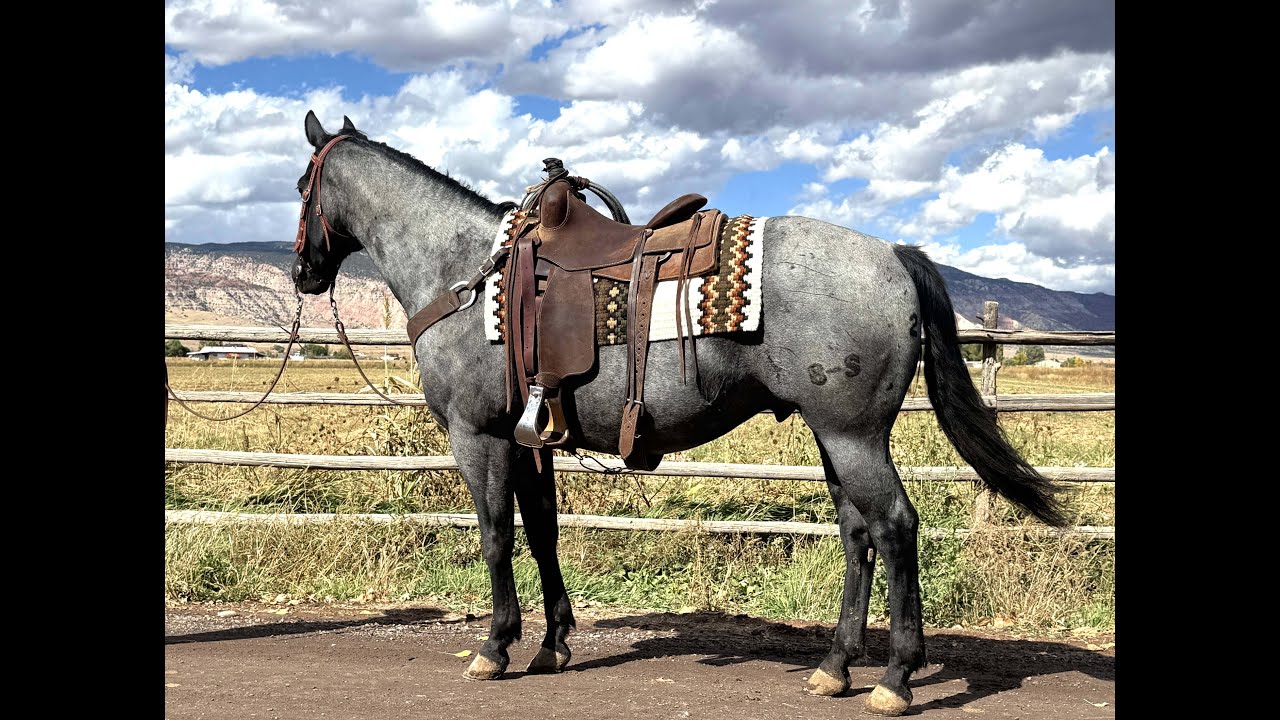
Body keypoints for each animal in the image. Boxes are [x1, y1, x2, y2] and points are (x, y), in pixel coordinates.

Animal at [289, 111, 1065, 716]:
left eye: (301, 187)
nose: (303, 272)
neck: (463, 270)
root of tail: (894, 256)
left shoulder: (478, 436)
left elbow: (495, 538)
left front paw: (495, 647)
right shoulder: (531, 440)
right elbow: (542, 535)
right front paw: (553, 644)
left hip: (853, 434)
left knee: (895, 527)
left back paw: (896, 679)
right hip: (836, 437)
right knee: (857, 534)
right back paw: (835, 668)